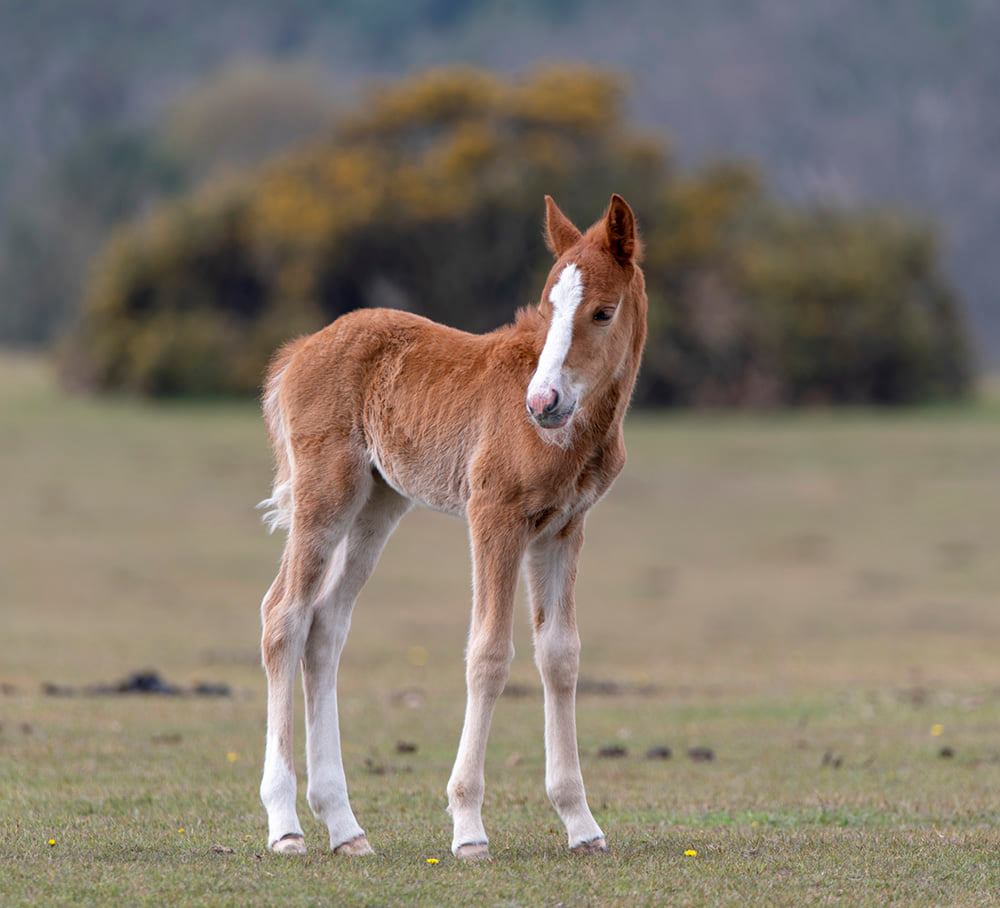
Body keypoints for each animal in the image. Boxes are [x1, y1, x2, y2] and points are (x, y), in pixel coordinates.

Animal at [257, 193, 648, 859]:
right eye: (548, 307)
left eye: (603, 311)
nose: (541, 402)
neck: (574, 435)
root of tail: (299, 350)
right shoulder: (493, 516)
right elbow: (488, 654)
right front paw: (468, 829)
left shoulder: (563, 529)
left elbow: (560, 654)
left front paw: (582, 825)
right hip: (326, 496)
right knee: (284, 614)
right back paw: (286, 825)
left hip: (379, 504)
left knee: (326, 625)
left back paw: (345, 827)